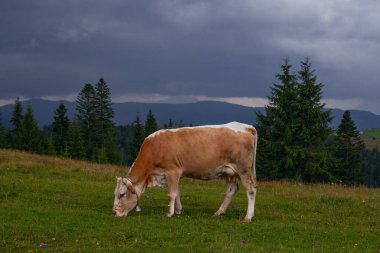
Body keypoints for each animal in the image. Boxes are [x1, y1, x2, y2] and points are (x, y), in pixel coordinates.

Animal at [111, 121, 256, 222]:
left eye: (122, 194)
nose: (114, 213)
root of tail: (245, 127)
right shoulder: (172, 175)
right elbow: (177, 192)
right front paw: (178, 210)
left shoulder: (172, 171)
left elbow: (171, 194)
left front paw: (170, 213)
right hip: (230, 172)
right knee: (231, 190)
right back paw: (219, 212)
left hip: (244, 170)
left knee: (251, 190)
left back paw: (248, 217)